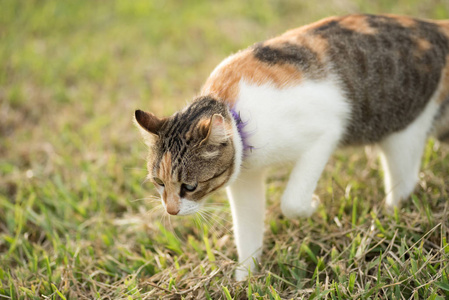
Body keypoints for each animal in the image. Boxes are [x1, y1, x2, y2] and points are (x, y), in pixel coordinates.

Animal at [134, 13, 448, 282]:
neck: (233, 109)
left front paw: (313, 205)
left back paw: (388, 220)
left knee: (404, 183)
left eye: (189, 186)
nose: (171, 211)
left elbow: (292, 202)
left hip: (405, 129)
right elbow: (247, 229)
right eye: (159, 183)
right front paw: (245, 278)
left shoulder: (325, 133)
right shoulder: (244, 176)